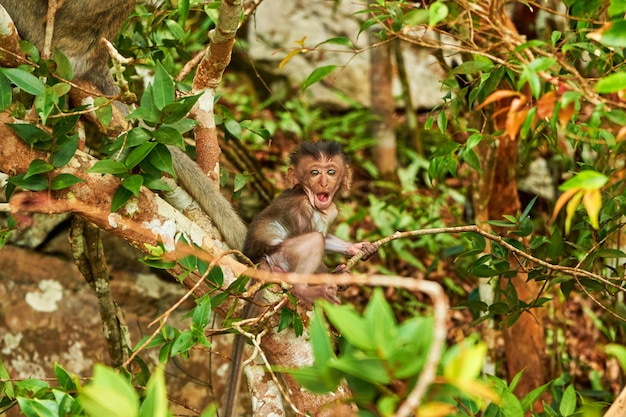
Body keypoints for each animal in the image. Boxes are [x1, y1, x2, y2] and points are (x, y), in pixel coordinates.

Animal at [241, 141, 372, 304]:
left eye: (331, 172)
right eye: (314, 172)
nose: (324, 183)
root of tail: (259, 261)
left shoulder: (332, 210)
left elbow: (325, 237)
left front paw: (357, 247)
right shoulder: (301, 209)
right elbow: (315, 238)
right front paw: (336, 275)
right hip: (279, 258)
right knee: (315, 239)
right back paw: (302, 290)